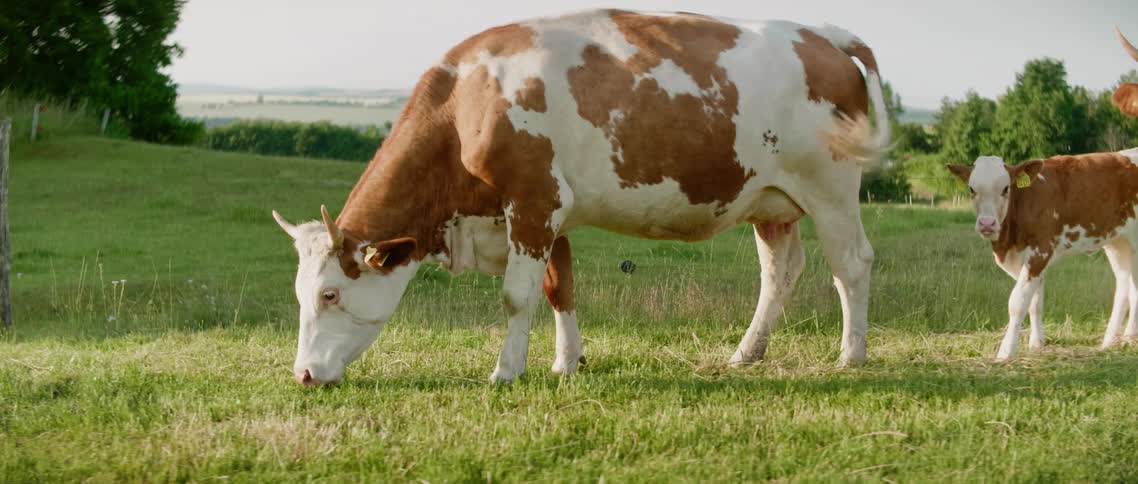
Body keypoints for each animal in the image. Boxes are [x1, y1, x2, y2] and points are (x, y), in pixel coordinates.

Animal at [271, 9, 891, 385]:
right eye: (300, 293)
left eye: (329, 294)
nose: (303, 375)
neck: (466, 104)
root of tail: (821, 34)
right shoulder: (549, 214)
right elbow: (559, 287)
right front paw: (567, 362)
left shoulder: (533, 199)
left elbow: (517, 296)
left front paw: (506, 372)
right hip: (769, 198)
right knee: (781, 270)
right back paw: (746, 352)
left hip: (831, 187)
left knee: (852, 264)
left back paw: (851, 355)